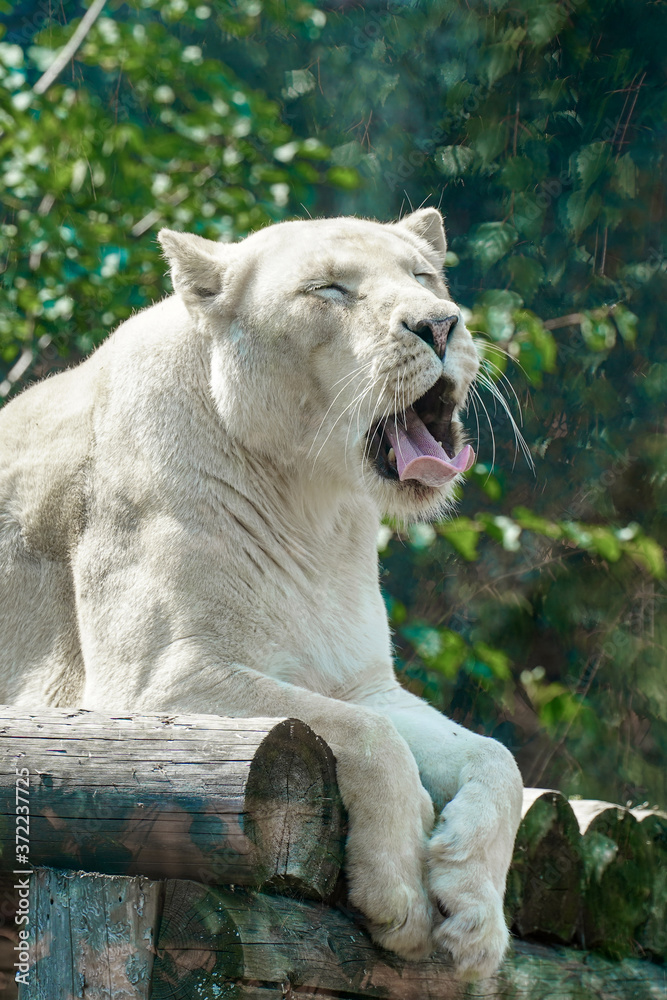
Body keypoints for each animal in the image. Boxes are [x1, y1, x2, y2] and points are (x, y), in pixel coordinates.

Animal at [0, 209, 522, 978]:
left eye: (424, 276)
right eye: (330, 288)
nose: (440, 325)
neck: (312, 511)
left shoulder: (364, 681)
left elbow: (492, 755)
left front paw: (475, 915)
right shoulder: (153, 687)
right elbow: (369, 736)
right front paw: (398, 889)